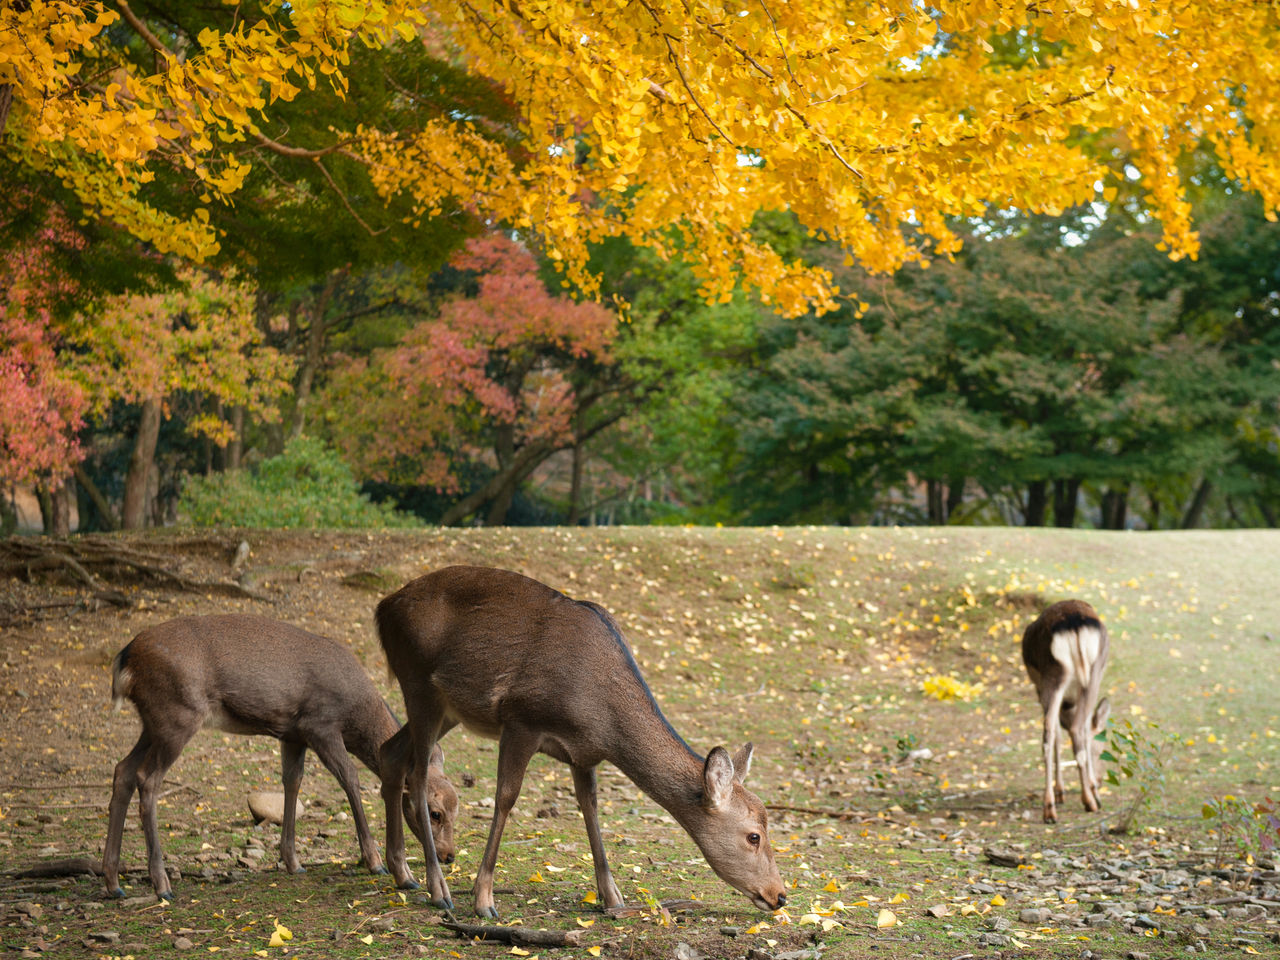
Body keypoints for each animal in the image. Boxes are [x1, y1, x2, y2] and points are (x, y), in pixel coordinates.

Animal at [103, 616, 460, 901]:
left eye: (458, 807)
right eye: (435, 812)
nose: (449, 855)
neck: (355, 714)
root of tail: (124, 658)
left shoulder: (292, 734)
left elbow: (292, 781)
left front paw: (293, 862)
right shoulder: (319, 724)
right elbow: (350, 778)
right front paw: (374, 862)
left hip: (153, 722)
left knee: (122, 770)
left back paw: (113, 882)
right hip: (177, 713)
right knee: (147, 778)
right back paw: (161, 884)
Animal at [373, 568, 783, 921]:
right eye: (754, 836)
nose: (779, 895)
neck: (600, 718)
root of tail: (382, 608)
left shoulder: (584, 753)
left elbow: (591, 807)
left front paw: (612, 898)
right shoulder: (521, 720)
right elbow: (506, 798)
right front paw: (483, 899)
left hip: (448, 709)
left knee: (391, 753)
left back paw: (401, 872)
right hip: (418, 683)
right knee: (419, 776)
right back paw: (438, 888)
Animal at [1018, 599, 1111, 824]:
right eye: (1101, 750)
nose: (1101, 781)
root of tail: (1073, 623)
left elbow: (1058, 734)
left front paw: (1061, 792)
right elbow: (1085, 731)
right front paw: (1094, 790)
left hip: (1051, 677)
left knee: (1048, 733)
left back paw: (1049, 809)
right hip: (1090, 673)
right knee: (1077, 729)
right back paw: (1089, 801)